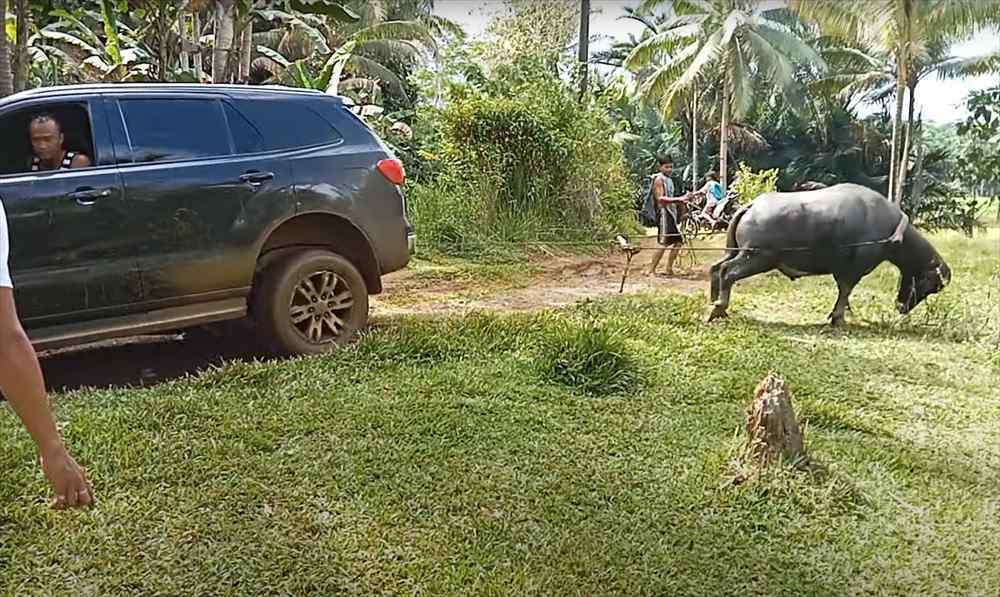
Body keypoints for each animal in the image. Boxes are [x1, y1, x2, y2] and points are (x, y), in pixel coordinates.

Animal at [708, 183, 948, 326]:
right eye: (930, 285)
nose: (902, 308)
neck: (891, 230)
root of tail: (751, 205)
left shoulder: (842, 269)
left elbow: (843, 292)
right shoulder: (854, 269)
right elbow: (846, 291)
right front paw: (838, 318)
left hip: (737, 252)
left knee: (715, 268)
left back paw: (714, 302)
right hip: (758, 257)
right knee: (727, 271)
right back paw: (719, 308)